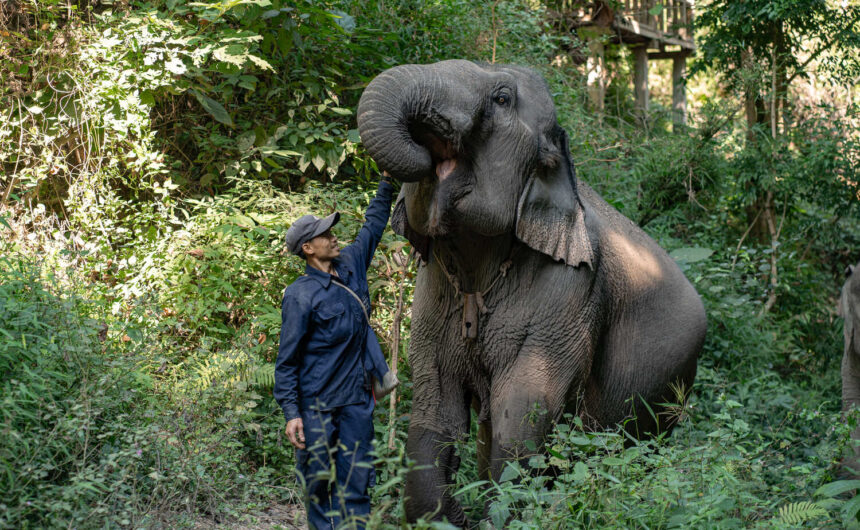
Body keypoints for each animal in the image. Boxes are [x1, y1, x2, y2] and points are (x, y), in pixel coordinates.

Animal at [356, 60, 707, 526]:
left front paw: (497, 516)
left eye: (503, 98)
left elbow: (522, 409)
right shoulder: (434, 286)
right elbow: (436, 396)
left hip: (668, 389)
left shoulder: (571, 291)